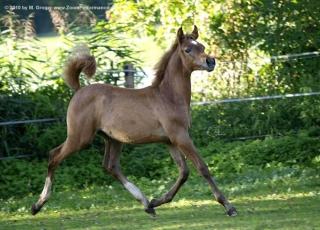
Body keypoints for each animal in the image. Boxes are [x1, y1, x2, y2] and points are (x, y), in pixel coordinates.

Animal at [31, 26, 238, 217]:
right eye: (187, 49)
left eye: (202, 46)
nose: (210, 61)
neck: (168, 96)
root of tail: (79, 90)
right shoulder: (180, 136)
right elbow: (202, 168)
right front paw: (229, 206)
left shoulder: (170, 140)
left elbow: (183, 172)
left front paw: (157, 201)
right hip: (80, 138)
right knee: (54, 156)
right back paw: (37, 205)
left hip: (113, 139)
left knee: (110, 166)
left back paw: (147, 204)